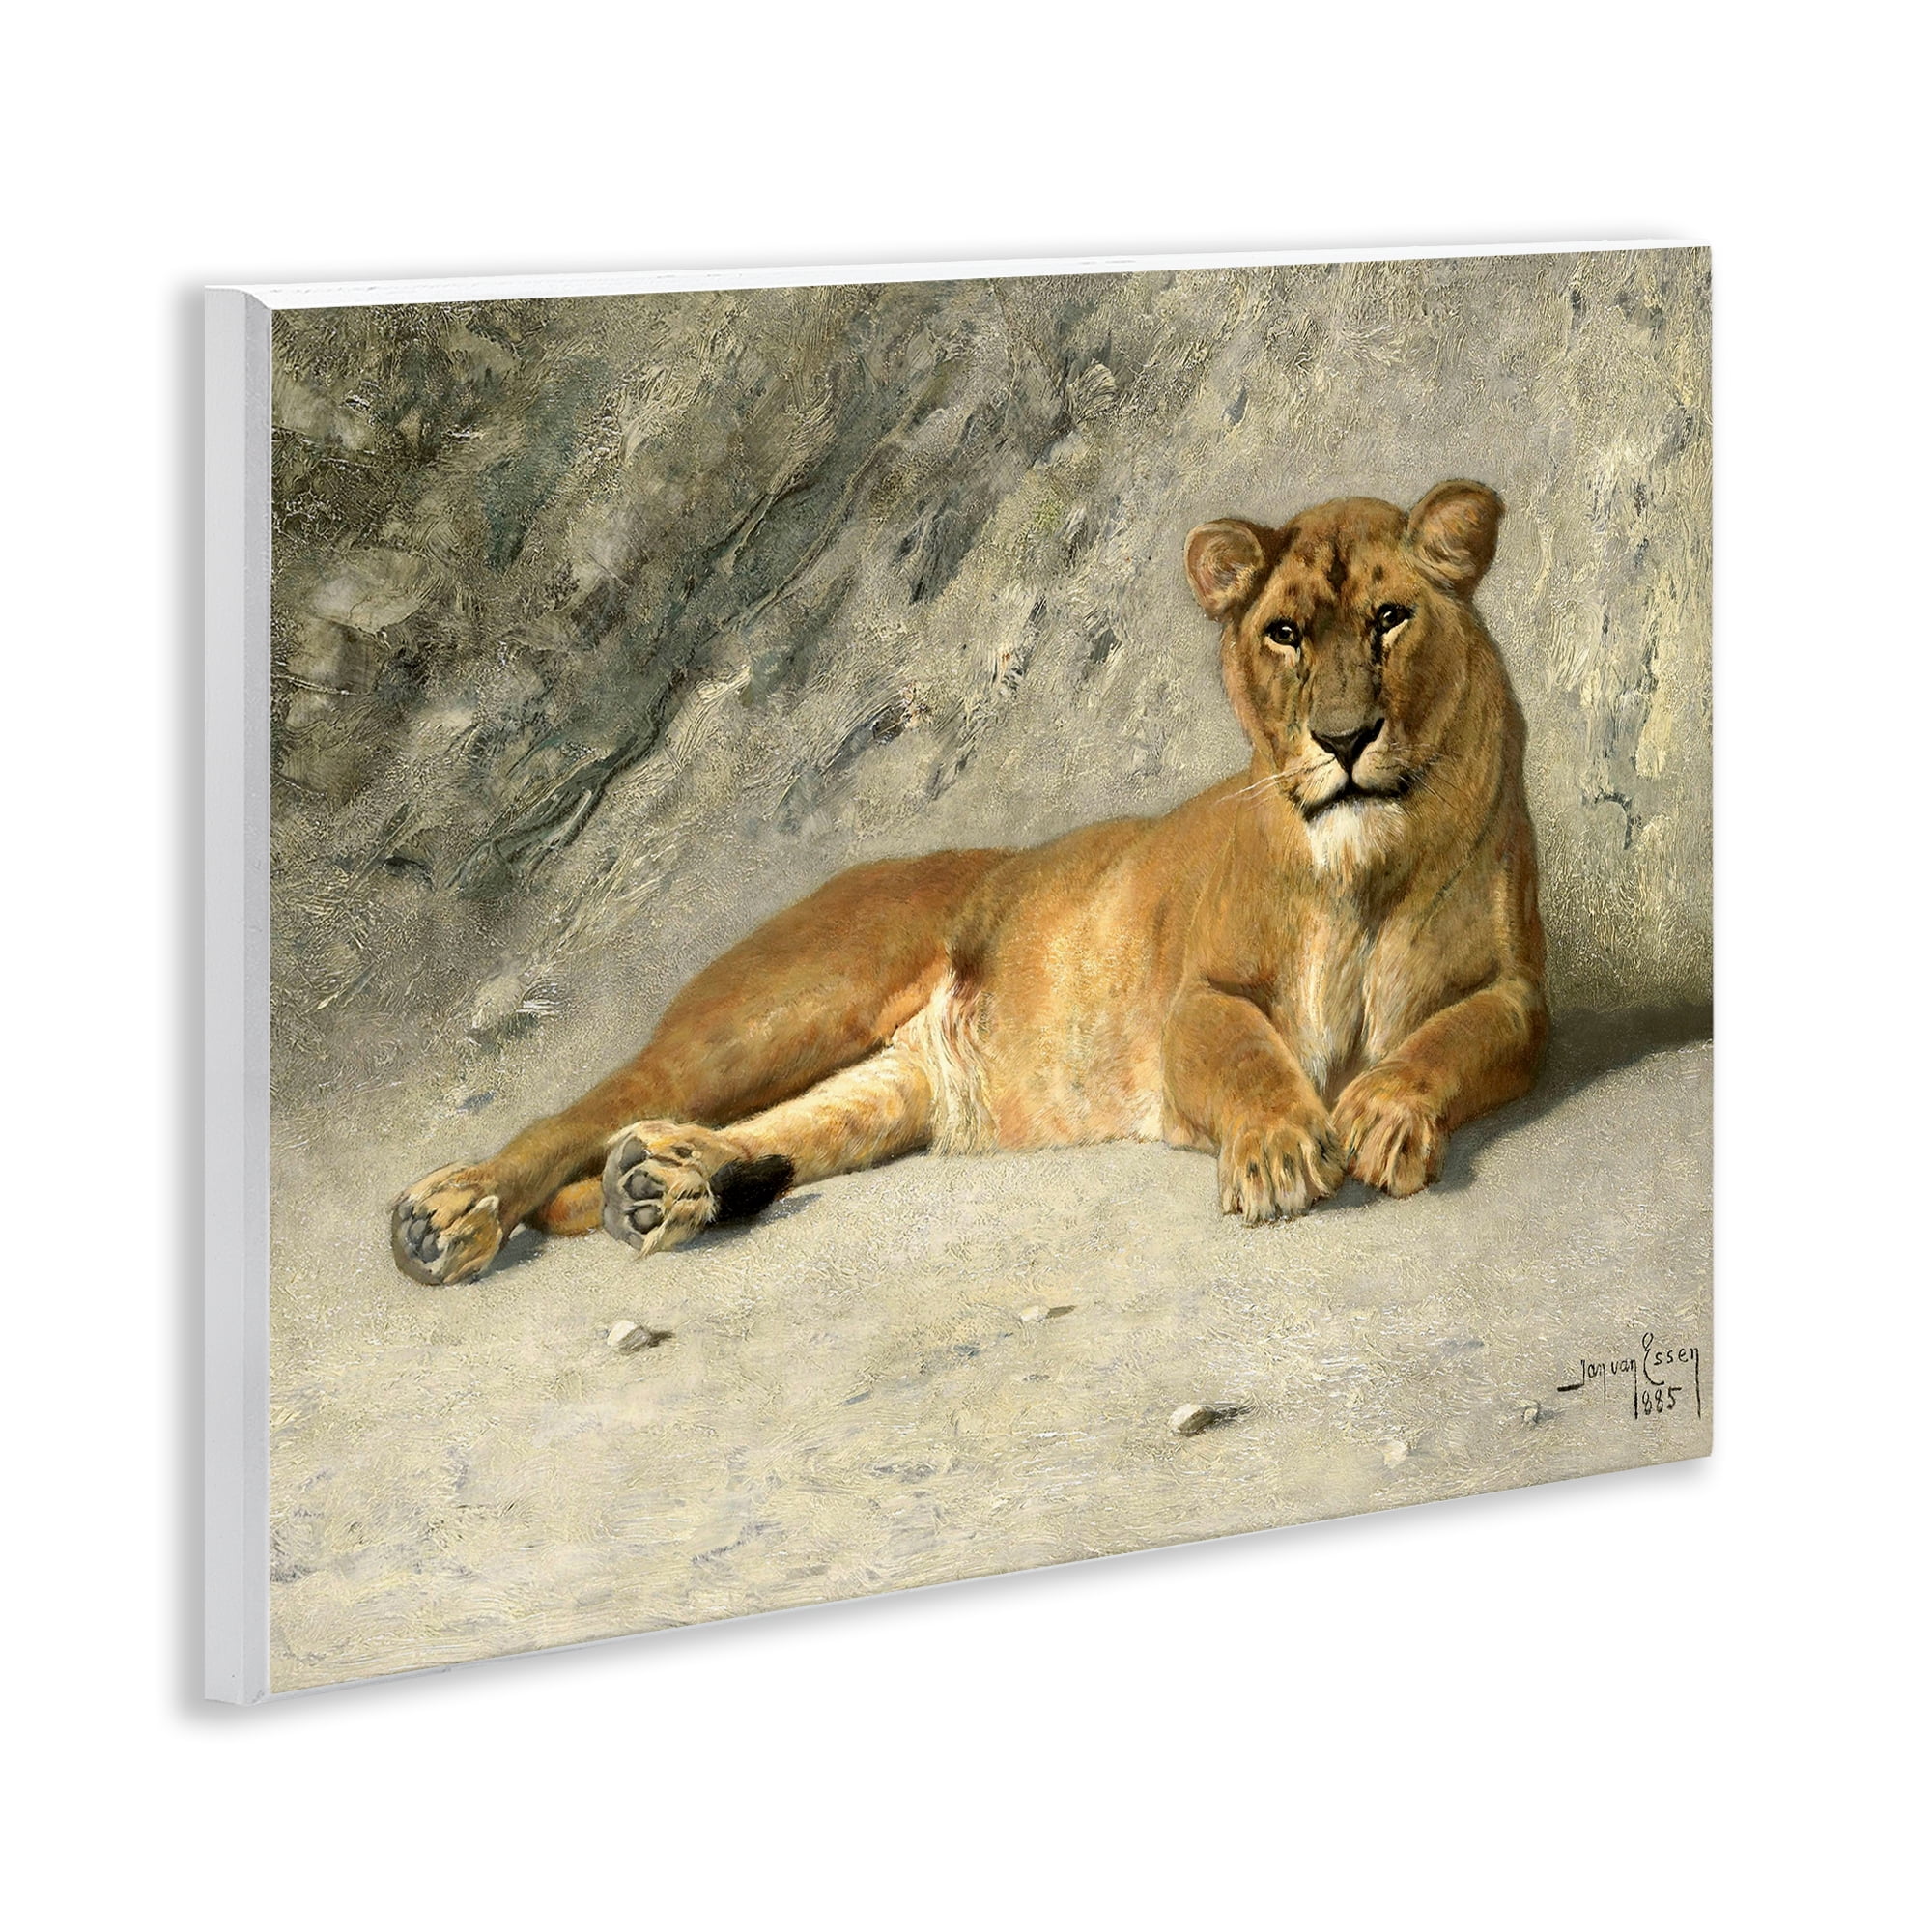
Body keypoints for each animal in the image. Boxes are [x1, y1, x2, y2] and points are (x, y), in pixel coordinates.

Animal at [391, 480, 1547, 1286]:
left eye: (1391, 619)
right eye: (1285, 633)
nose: (1344, 739)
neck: (1365, 870)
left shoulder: (1520, 995)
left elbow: (1451, 1038)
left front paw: (1385, 1111)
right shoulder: (1196, 998)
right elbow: (1246, 1053)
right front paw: (1273, 1150)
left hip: (888, 1090)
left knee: (762, 1135)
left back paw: (661, 1186)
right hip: (775, 1015)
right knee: (583, 1116)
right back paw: (448, 1216)